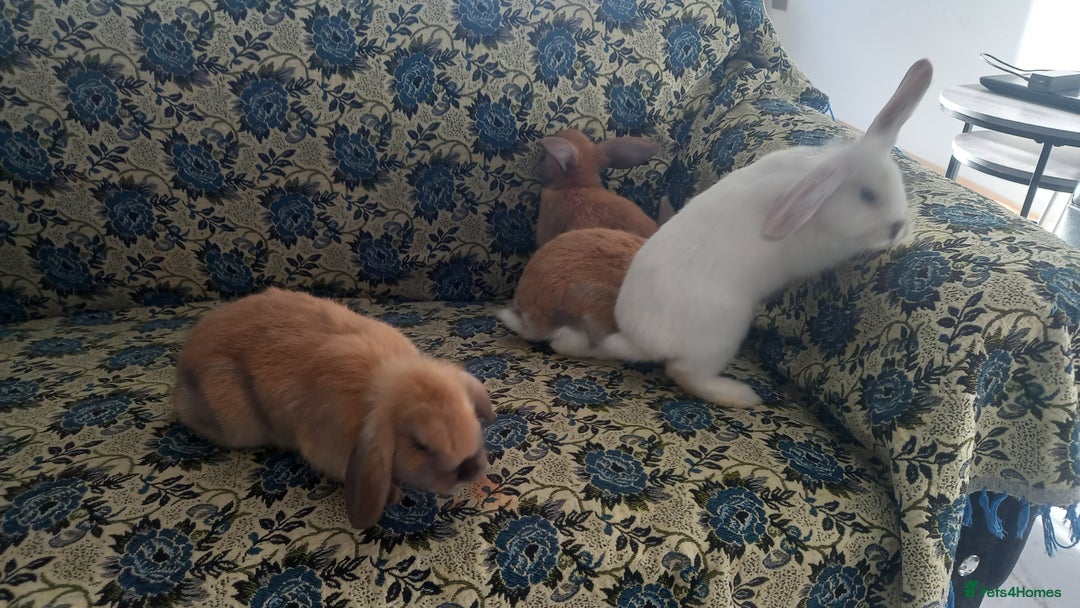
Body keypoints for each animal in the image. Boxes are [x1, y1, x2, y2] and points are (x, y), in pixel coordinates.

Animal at [171, 287, 496, 529]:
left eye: (471, 416)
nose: (470, 468)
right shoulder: (325, 448)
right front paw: (392, 494)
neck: (381, 382)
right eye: (421, 445)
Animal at [607, 59, 934, 408]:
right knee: (683, 372)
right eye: (868, 196)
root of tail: (639, 340)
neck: (821, 208)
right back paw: (742, 395)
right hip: (722, 334)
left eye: (898, 182)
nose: (899, 227)